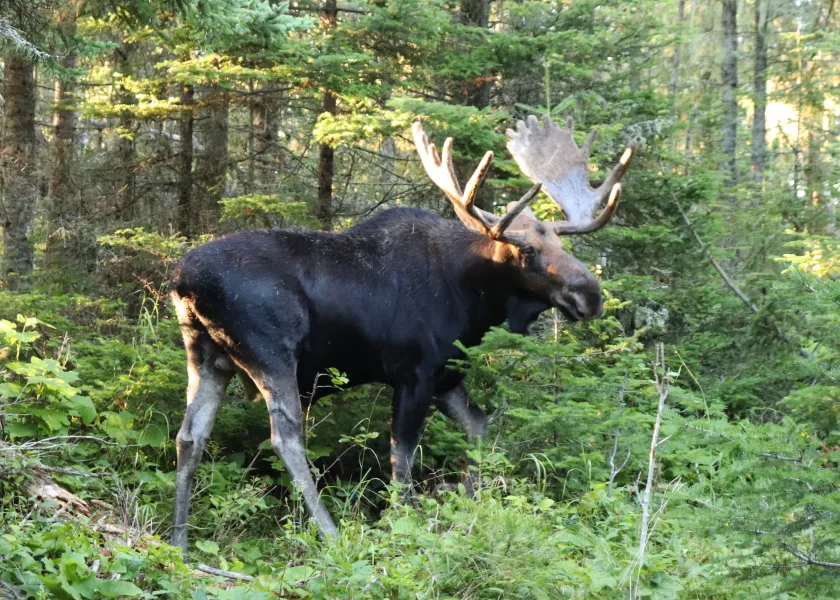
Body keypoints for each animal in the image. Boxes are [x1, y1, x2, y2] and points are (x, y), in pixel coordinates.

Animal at [169, 115, 634, 554]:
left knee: (190, 435)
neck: (473, 299)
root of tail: (182, 280)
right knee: (286, 439)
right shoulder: (415, 373)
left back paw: (179, 541)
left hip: (206, 355)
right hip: (271, 355)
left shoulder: (448, 374)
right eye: (530, 251)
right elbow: (402, 456)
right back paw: (330, 532)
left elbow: (480, 427)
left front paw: (471, 497)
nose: (591, 295)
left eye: (561, 243)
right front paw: (404, 523)